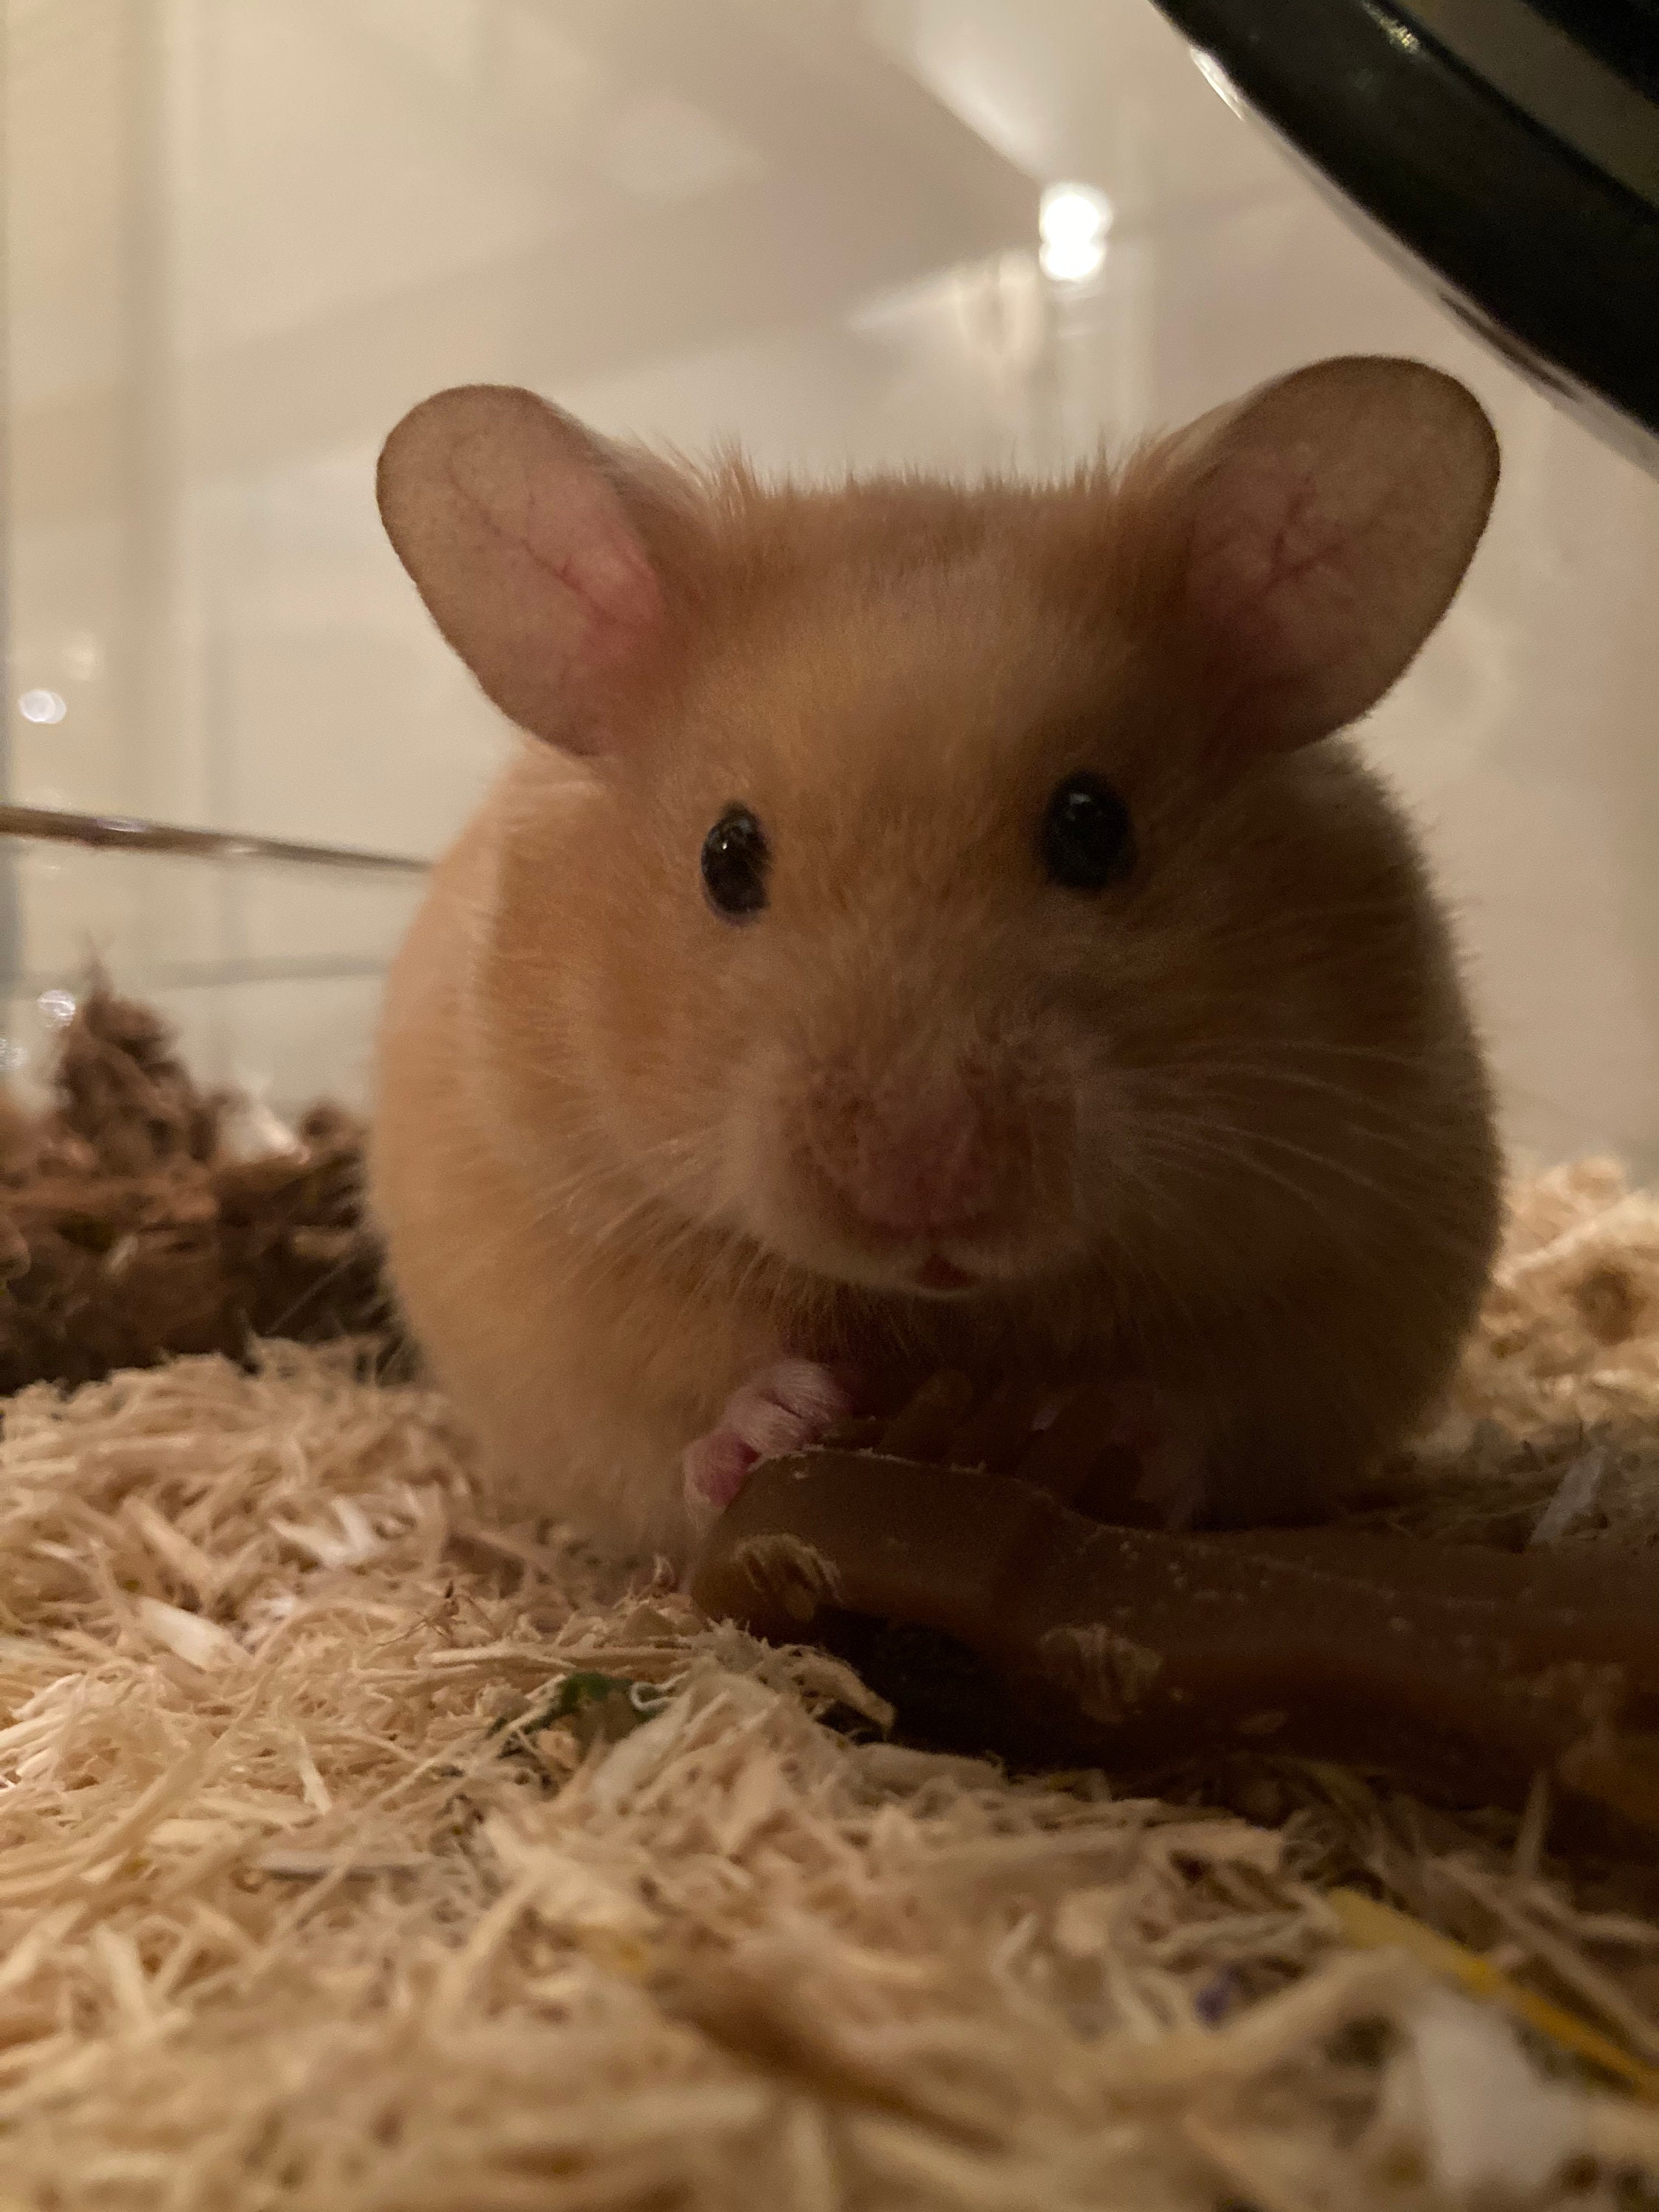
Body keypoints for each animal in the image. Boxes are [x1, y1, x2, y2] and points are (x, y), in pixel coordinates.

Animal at [371, 355, 1503, 1566]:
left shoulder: (1347, 1244)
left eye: (1093, 828)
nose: (924, 1181)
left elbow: (1214, 1401)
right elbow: (683, 1387)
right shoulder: (556, 1243)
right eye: (726, 857)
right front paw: (781, 1419)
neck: (947, 1306)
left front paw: (1089, 1431)